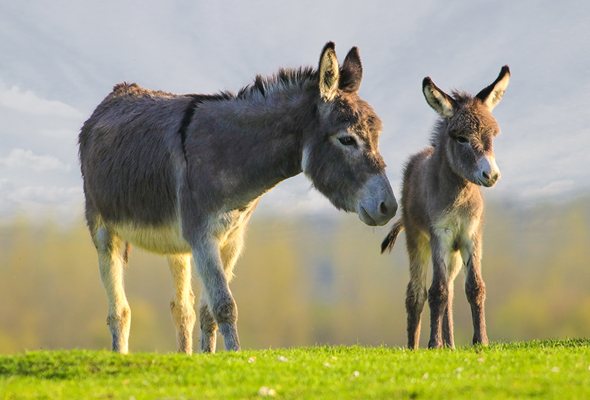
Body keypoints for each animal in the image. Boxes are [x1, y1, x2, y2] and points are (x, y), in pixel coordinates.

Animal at [382, 65, 512, 346]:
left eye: (492, 135)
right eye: (461, 138)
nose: (491, 175)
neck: (459, 197)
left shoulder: (471, 235)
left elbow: (474, 287)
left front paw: (481, 341)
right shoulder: (439, 235)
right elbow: (436, 291)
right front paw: (433, 344)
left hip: (453, 251)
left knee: (451, 291)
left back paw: (450, 344)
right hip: (418, 239)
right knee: (416, 293)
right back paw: (415, 346)